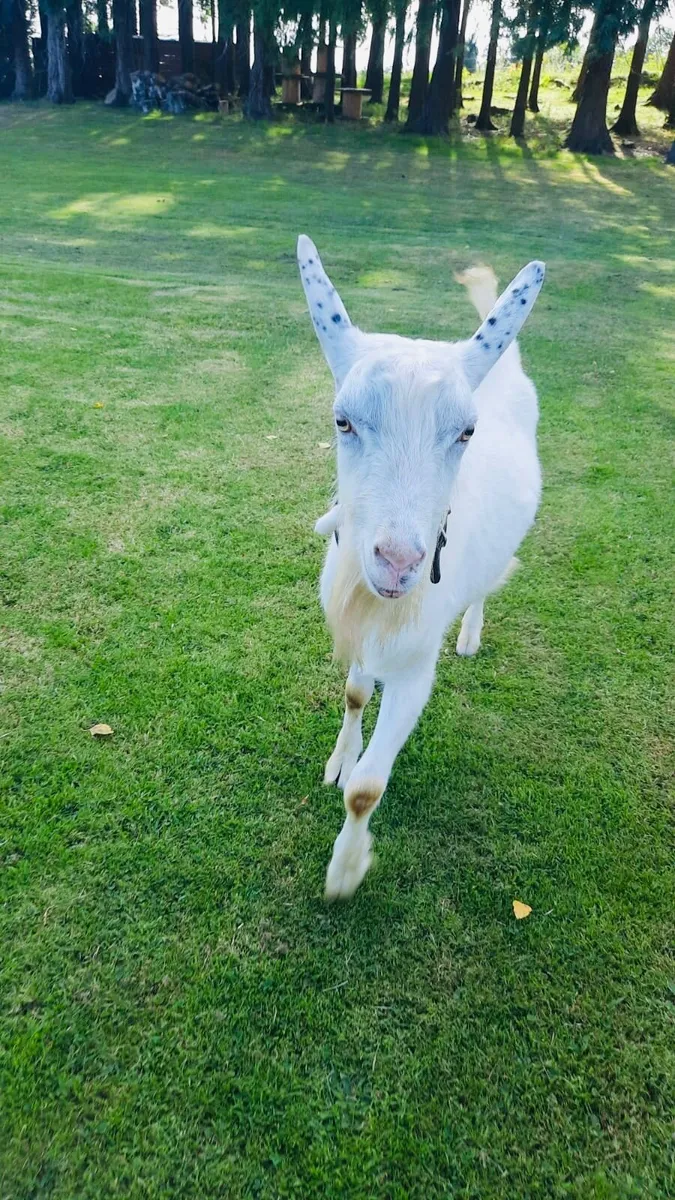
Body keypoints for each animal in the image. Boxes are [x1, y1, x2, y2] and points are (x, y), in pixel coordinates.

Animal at [297, 236, 545, 899]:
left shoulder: (414, 670)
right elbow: (356, 691)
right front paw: (340, 759)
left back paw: (471, 634)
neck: (381, 604)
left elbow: (367, 791)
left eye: (466, 431)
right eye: (342, 421)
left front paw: (345, 871)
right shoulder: (362, 625)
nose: (399, 562)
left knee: (487, 583)